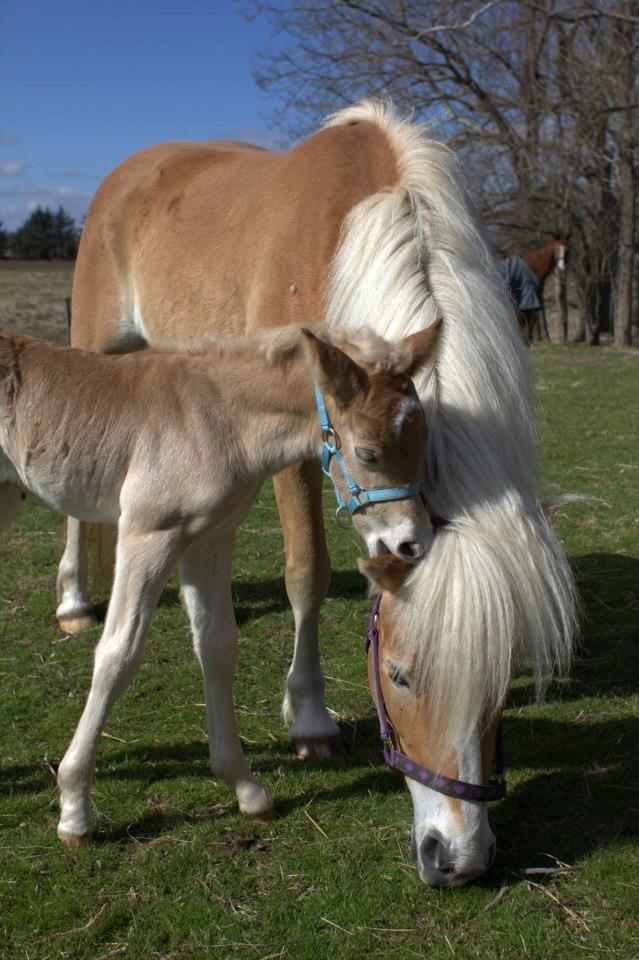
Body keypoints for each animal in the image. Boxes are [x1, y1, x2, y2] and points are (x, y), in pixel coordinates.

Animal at [0, 322, 440, 840]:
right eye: (368, 453)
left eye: (424, 441)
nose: (413, 544)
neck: (217, 418)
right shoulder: (148, 534)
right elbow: (118, 653)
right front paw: (74, 808)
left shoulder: (210, 538)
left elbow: (218, 646)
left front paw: (246, 788)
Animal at [53, 103, 576, 884]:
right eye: (398, 676)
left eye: (503, 682)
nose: (458, 858)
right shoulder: (295, 453)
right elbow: (309, 575)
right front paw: (311, 718)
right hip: (97, 347)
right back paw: (73, 600)